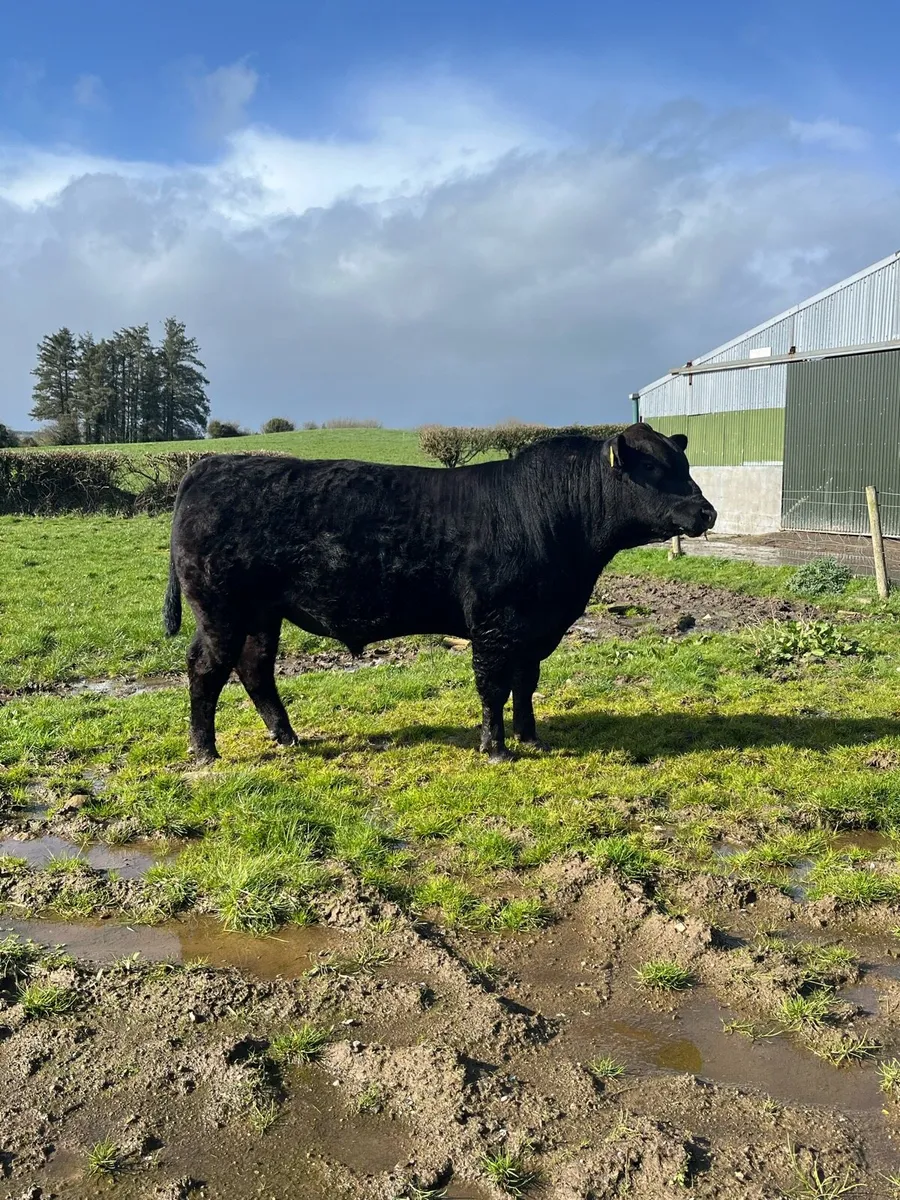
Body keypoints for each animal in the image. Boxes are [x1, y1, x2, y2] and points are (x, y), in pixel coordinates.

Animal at [163, 423, 716, 763]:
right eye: (655, 469)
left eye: (686, 465)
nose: (707, 512)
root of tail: (209, 466)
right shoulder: (494, 621)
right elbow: (493, 686)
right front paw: (496, 748)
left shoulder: (535, 628)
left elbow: (525, 683)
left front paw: (531, 738)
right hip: (220, 609)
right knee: (206, 668)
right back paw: (205, 751)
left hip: (262, 614)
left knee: (255, 669)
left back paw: (289, 738)